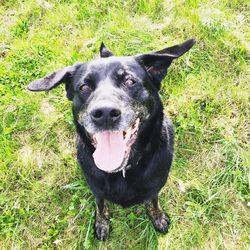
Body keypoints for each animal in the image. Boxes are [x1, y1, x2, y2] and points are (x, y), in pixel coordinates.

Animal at [27, 38, 195, 239]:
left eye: (129, 81)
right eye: (84, 87)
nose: (105, 113)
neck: (122, 171)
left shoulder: (154, 187)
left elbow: (152, 201)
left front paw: (158, 217)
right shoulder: (97, 189)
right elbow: (101, 205)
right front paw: (102, 223)